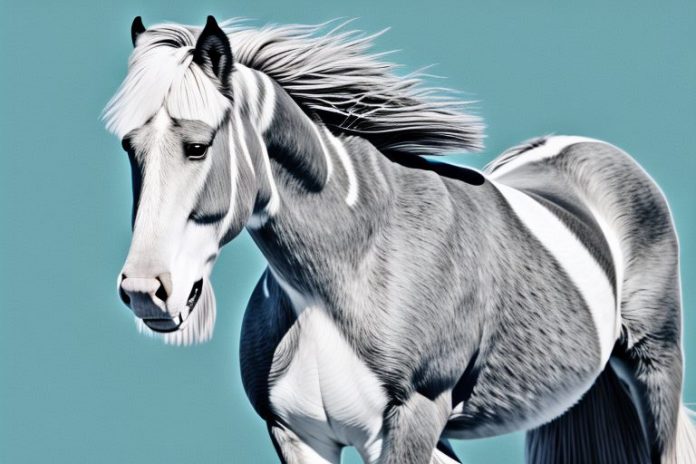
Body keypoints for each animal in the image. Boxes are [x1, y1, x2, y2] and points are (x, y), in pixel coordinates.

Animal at [103, 15, 696, 463]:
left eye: (198, 146)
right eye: (130, 147)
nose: (145, 291)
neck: (355, 266)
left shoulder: (413, 417)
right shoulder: (300, 436)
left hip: (655, 364)